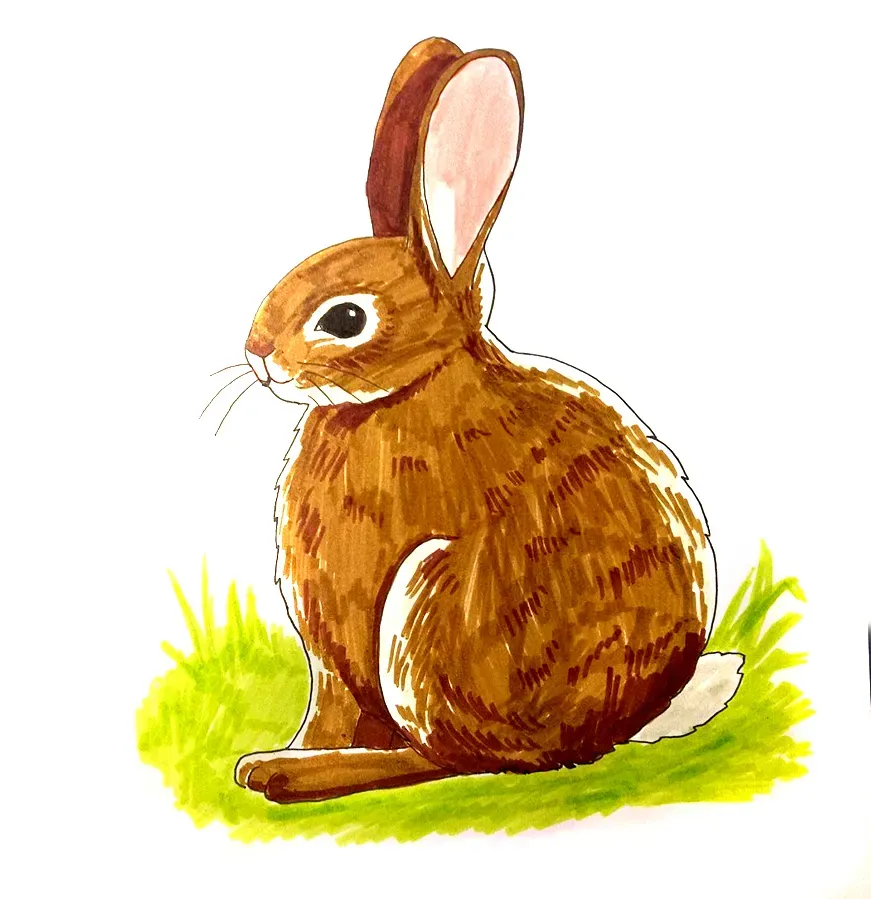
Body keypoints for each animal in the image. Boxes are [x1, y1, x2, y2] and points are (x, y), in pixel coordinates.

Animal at [233, 37, 741, 804]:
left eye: (344, 319)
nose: (256, 353)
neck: (411, 391)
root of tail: (608, 724)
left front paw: (287, 760)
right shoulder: (329, 662)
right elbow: (328, 709)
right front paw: (288, 749)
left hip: (433, 619)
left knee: (455, 756)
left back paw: (295, 774)